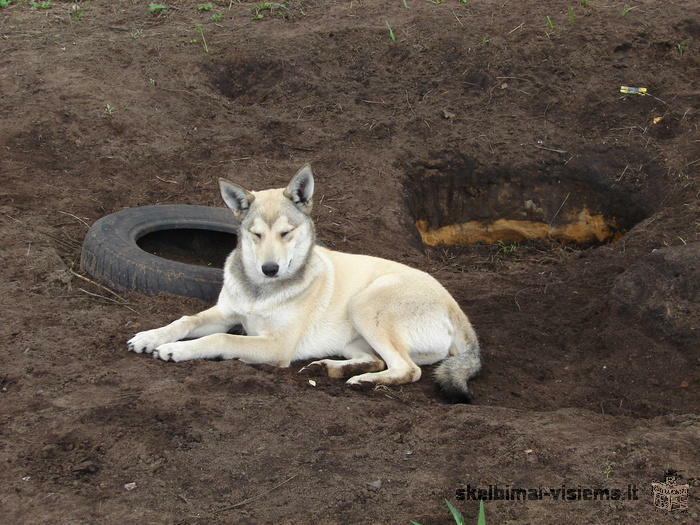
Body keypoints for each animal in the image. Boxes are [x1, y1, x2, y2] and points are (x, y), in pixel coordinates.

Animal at [127, 166, 482, 400]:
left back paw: (366, 381)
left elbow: (221, 340)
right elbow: (185, 320)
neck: (260, 292)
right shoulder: (225, 313)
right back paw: (327, 368)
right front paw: (150, 337)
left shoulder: (275, 345)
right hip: (354, 333)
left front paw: (175, 349)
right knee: (378, 359)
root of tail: (456, 310)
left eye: (286, 233)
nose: (270, 268)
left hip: (365, 305)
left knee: (408, 369)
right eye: (256, 235)